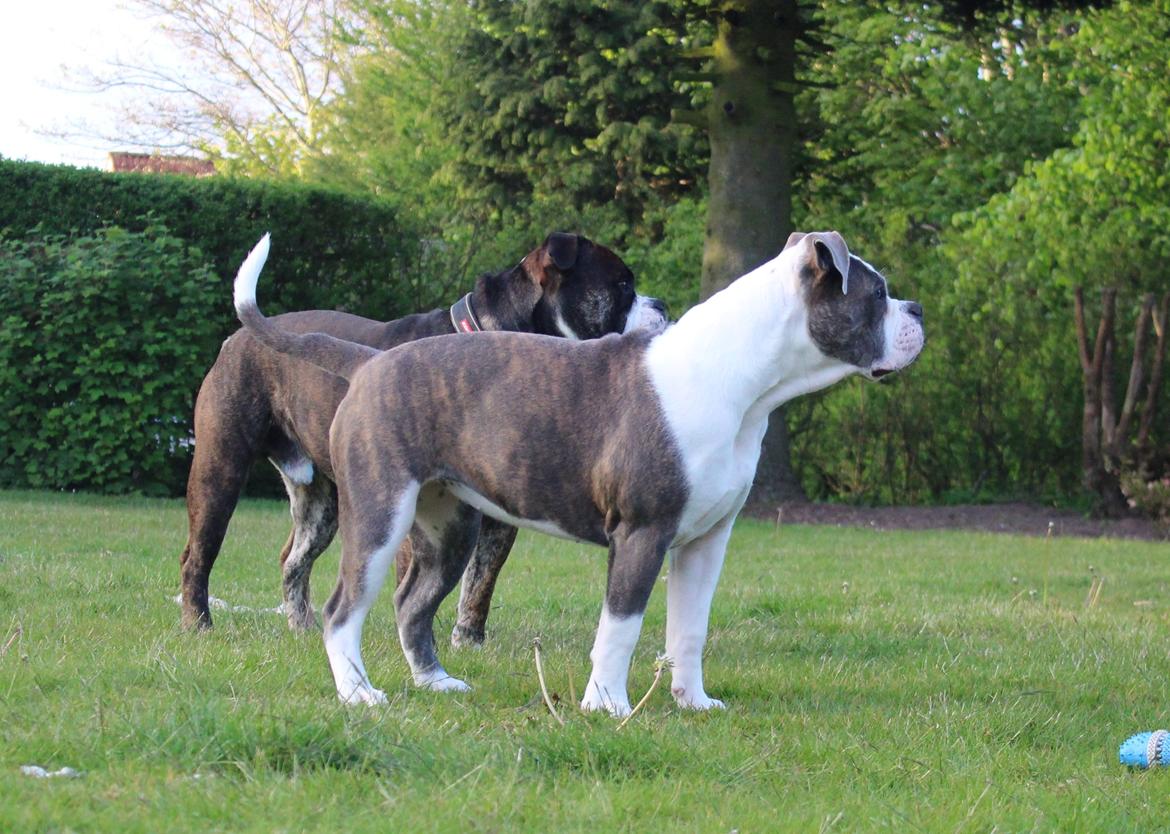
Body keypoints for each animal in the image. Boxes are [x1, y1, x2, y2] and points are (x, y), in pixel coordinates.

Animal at [230, 229, 921, 715]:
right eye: (877, 293)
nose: (916, 308)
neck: (743, 378)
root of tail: (368, 362)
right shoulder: (642, 533)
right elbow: (621, 627)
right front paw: (606, 705)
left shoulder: (704, 543)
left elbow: (689, 630)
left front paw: (694, 702)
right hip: (379, 517)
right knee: (342, 608)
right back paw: (358, 694)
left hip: (448, 529)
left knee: (411, 603)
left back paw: (436, 683)